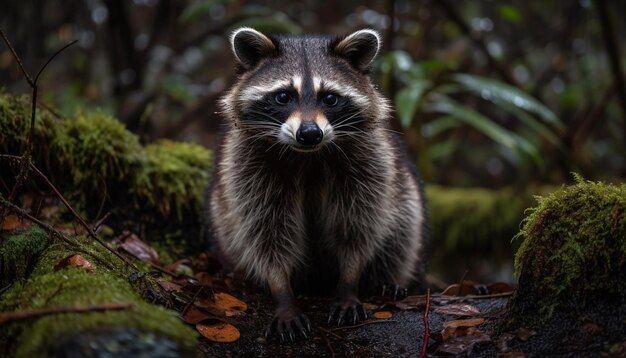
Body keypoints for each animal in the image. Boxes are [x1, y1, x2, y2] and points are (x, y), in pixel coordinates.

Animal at [207, 27, 426, 342]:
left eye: (330, 98)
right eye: (283, 96)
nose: (310, 133)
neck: (308, 155)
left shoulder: (369, 164)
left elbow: (358, 227)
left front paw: (349, 282)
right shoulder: (248, 169)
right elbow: (267, 233)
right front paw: (281, 290)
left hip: (403, 188)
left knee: (404, 226)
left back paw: (385, 281)